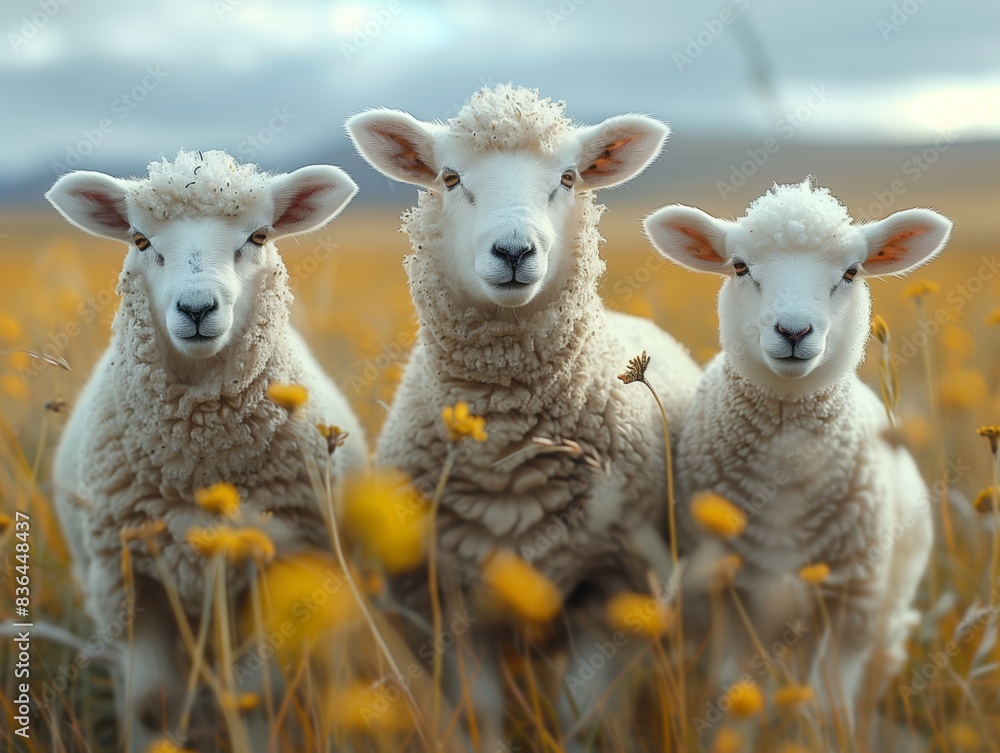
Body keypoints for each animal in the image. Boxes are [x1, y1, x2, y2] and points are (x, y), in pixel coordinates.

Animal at [45, 149, 365, 751]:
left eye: (259, 236)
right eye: (140, 239)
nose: (196, 309)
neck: (198, 465)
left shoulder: (272, 562)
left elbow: (259, 695)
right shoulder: (128, 577)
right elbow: (151, 704)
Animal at [347, 84, 701, 740]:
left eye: (567, 177)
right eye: (450, 176)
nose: (514, 251)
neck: (509, 442)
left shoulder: (611, 586)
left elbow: (582, 715)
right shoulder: (442, 602)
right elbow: (478, 716)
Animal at [644, 177, 949, 724]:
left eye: (851, 272)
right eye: (739, 266)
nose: (793, 331)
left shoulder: (853, 601)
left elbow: (830, 703)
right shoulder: (731, 592)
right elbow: (743, 688)